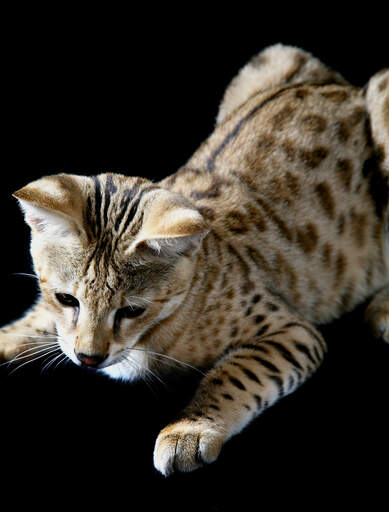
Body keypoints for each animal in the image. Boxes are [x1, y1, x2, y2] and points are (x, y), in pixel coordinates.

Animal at [0, 44, 388, 476]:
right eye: (67, 299)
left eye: (132, 310)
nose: (89, 358)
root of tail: (349, 88)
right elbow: (36, 318)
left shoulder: (291, 330)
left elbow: (235, 375)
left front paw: (189, 429)